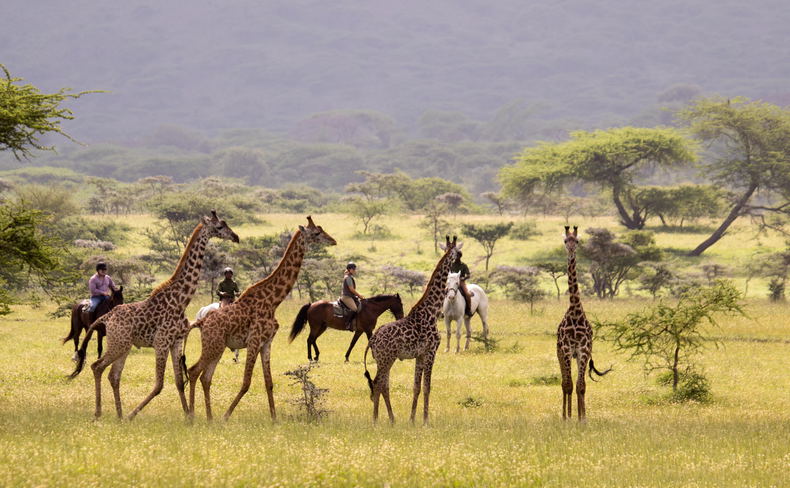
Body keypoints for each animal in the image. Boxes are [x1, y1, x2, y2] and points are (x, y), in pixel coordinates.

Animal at [69, 211, 239, 420]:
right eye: (219, 227)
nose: (236, 237)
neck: (181, 301)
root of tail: (106, 317)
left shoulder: (176, 341)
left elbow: (179, 381)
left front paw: (188, 417)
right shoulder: (161, 342)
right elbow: (159, 385)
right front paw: (132, 415)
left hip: (123, 345)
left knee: (113, 375)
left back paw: (118, 415)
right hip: (118, 344)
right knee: (96, 366)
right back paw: (100, 413)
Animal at [187, 216, 336, 421]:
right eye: (316, 233)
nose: (333, 241)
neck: (273, 301)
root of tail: (201, 321)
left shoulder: (266, 343)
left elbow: (269, 382)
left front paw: (274, 418)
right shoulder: (254, 340)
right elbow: (246, 382)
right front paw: (226, 416)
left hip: (218, 346)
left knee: (205, 377)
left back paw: (209, 418)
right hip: (213, 344)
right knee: (193, 371)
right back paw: (192, 416)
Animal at [364, 235, 461, 425]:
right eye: (458, 252)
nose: (459, 260)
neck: (432, 311)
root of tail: (373, 339)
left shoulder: (420, 355)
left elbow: (416, 387)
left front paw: (412, 419)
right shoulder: (431, 351)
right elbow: (427, 387)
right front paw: (425, 421)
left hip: (383, 359)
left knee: (382, 384)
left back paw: (391, 419)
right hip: (387, 359)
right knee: (378, 383)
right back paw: (376, 419)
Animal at [556, 225, 610, 421]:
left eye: (577, 241)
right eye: (566, 240)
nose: (571, 250)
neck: (575, 312)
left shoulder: (584, 349)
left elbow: (581, 386)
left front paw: (582, 418)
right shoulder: (566, 349)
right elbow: (569, 385)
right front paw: (568, 417)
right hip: (560, 353)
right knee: (564, 382)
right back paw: (565, 415)